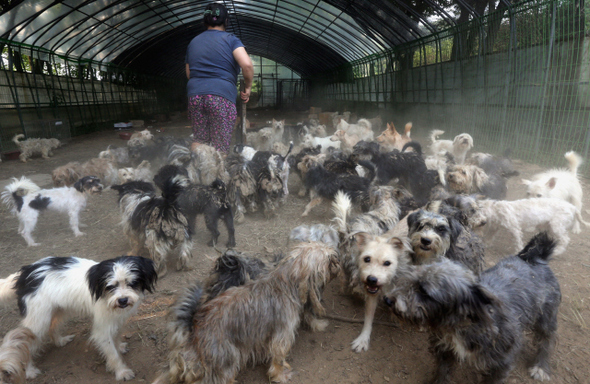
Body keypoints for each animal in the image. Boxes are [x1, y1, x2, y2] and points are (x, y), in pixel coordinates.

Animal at [0, 255, 157, 380]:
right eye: (110, 286)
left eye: (133, 283)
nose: (123, 300)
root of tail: (25, 273)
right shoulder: (103, 328)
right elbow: (112, 353)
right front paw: (122, 372)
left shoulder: (118, 319)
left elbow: (117, 336)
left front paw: (119, 346)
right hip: (38, 321)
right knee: (24, 343)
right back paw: (29, 371)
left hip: (57, 310)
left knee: (53, 327)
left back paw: (60, 341)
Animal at [150, 243, 340, 384]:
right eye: (328, 260)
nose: (337, 259)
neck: (287, 283)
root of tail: (193, 328)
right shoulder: (281, 337)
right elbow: (278, 360)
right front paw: (281, 375)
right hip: (226, 362)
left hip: (181, 363)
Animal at [386, 232, 560, 384]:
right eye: (412, 279)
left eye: (424, 291)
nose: (388, 300)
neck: (465, 321)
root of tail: (536, 257)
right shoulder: (445, 349)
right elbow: (442, 371)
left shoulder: (500, 364)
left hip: (546, 318)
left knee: (547, 339)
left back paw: (541, 367)